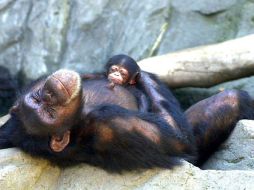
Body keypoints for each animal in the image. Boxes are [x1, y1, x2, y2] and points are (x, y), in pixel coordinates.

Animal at [0, 68, 254, 172]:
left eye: (39, 98)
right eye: (49, 113)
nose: (50, 93)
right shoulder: (113, 124)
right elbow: (179, 142)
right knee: (232, 100)